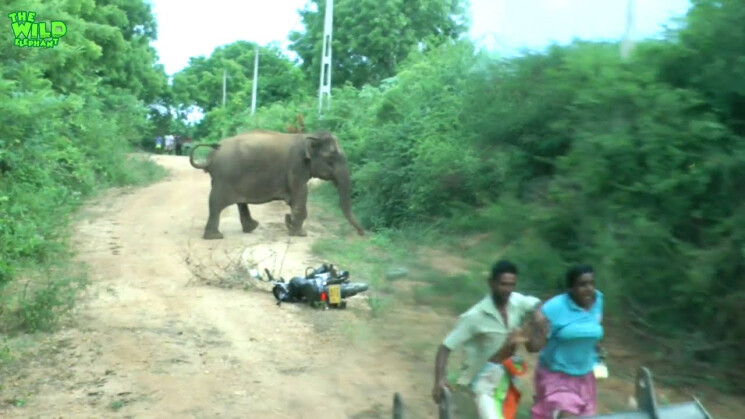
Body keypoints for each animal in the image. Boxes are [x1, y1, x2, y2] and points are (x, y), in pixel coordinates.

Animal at [187, 130, 364, 241]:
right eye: (331, 160)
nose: (362, 234)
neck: (309, 136)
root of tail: (211, 157)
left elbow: (296, 198)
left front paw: (290, 224)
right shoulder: (297, 166)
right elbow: (301, 194)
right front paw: (300, 233)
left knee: (238, 201)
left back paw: (251, 227)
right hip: (225, 177)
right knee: (216, 203)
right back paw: (215, 237)